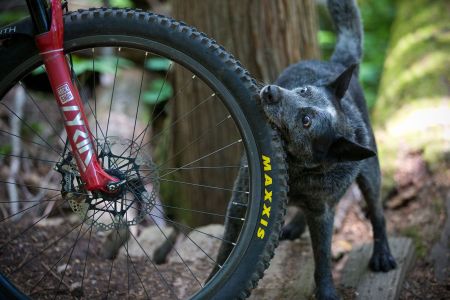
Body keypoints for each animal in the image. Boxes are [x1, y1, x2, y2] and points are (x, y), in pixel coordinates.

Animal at [256, 0, 398, 298]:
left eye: (306, 120)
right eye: (303, 90)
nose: (271, 91)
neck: (298, 170)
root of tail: (337, 63)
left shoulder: (323, 213)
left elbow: (322, 258)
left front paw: (326, 291)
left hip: (371, 174)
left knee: (377, 213)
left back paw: (382, 254)